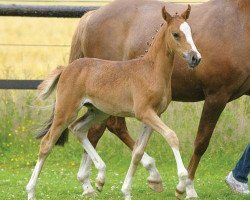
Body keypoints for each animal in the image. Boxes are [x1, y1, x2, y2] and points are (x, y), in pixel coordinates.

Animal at [26, 5, 201, 200]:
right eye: (176, 34)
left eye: (190, 31)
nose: (195, 58)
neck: (151, 70)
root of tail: (66, 68)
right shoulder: (144, 113)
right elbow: (171, 136)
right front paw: (182, 183)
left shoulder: (154, 115)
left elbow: (138, 152)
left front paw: (127, 191)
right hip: (66, 110)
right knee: (47, 143)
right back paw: (31, 191)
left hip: (98, 111)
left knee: (78, 128)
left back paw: (100, 174)